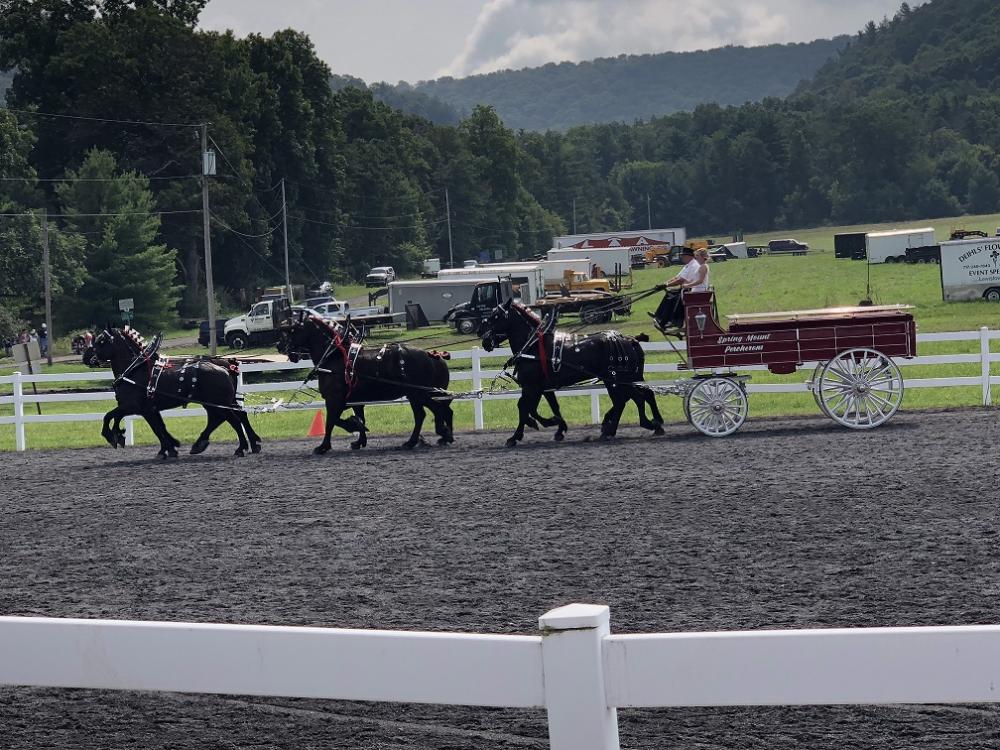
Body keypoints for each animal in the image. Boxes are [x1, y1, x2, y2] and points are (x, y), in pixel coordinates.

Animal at [87, 328, 262, 458]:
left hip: (219, 403)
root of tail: (224, 366)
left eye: (102, 341)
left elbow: (109, 416)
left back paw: (241, 448)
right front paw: (169, 447)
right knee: (232, 416)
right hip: (219, 402)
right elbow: (159, 428)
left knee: (233, 420)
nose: (91, 359)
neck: (135, 370)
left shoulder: (133, 406)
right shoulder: (148, 409)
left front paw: (113, 435)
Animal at [280, 316, 456, 452]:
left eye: (293, 330)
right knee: (432, 413)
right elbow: (358, 418)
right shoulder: (354, 400)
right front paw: (359, 437)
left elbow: (331, 421)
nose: (282, 347)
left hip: (418, 393)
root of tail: (432, 355)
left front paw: (324, 446)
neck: (333, 356)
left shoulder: (334, 399)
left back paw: (439, 434)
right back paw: (423, 439)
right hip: (417, 395)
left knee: (434, 411)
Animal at [478, 302, 664, 450]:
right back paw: (645, 425)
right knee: (639, 396)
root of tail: (630, 339)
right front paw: (558, 427)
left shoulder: (532, 387)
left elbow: (524, 407)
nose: (484, 339)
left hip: (617, 380)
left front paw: (517, 435)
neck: (533, 347)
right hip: (623, 379)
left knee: (629, 399)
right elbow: (550, 407)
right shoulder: (544, 387)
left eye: (495, 316)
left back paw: (628, 426)